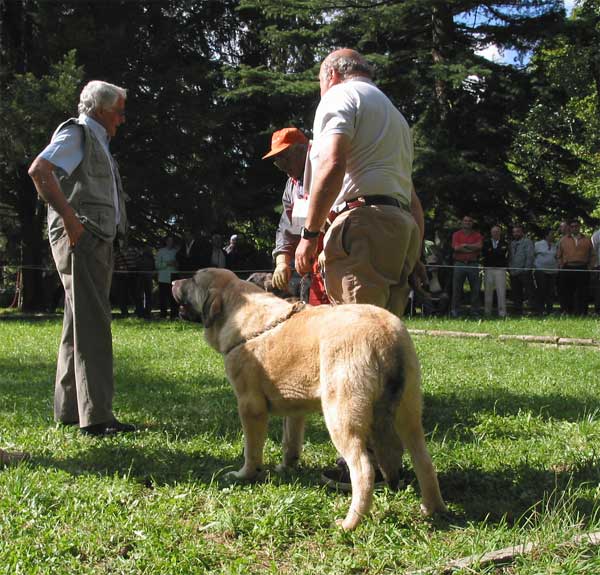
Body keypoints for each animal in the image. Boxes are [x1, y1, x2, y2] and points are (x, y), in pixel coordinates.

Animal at [171, 270, 442, 532]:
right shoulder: (295, 411)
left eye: (193, 278)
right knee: (424, 462)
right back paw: (433, 509)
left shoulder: (250, 407)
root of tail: (385, 335)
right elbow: (290, 442)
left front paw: (245, 475)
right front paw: (286, 468)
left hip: (341, 417)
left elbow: (252, 450)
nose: (173, 281)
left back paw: (350, 523)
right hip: (407, 416)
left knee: (364, 471)